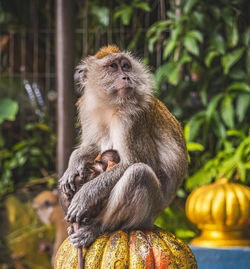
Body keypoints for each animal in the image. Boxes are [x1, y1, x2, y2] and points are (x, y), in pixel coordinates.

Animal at [58, 44, 188, 247]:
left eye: (125, 66)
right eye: (113, 66)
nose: (126, 77)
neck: (110, 104)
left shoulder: (131, 117)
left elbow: (140, 162)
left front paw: (86, 194)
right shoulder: (86, 107)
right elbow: (93, 145)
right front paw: (73, 165)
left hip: (149, 213)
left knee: (139, 174)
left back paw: (97, 227)